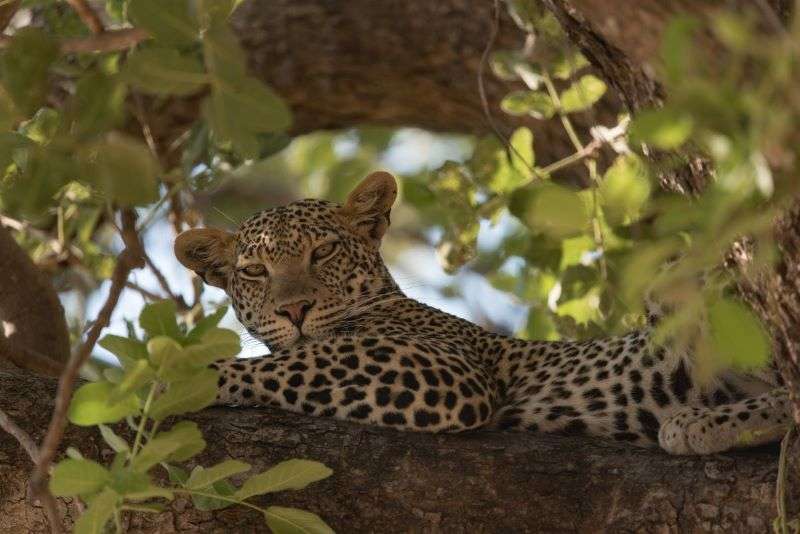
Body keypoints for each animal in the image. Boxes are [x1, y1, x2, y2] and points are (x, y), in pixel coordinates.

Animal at [174, 171, 792, 455]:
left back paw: (698, 424)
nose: (295, 309)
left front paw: (176, 376)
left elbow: (285, 365)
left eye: (322, 253)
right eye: (255, 271)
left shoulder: (448, 366)